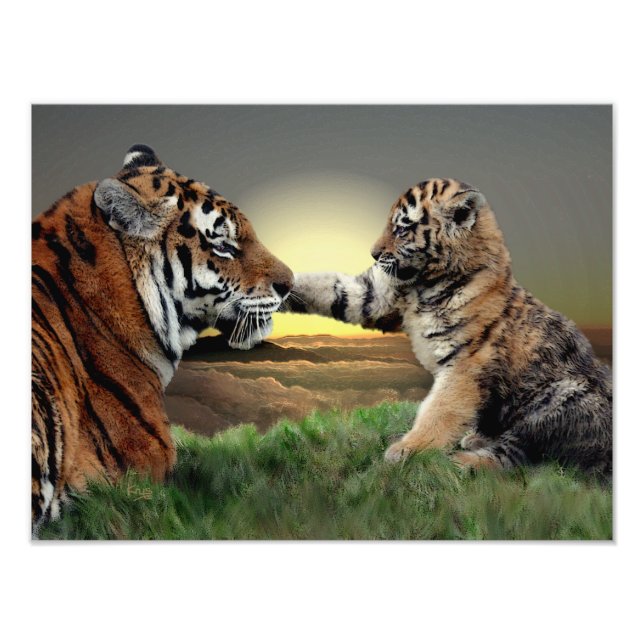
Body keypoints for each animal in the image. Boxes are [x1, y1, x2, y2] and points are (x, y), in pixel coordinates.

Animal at [283, 178, 612, 475]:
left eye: (401, 228)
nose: (374, 254)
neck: (424, 282)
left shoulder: (464, 364)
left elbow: (438, 411)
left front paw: (409, 449)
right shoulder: (376, 294)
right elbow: (332, 288)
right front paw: (280, 285)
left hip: (562, 394)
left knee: (521, 456)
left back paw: (459, 462)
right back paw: (474, 439)